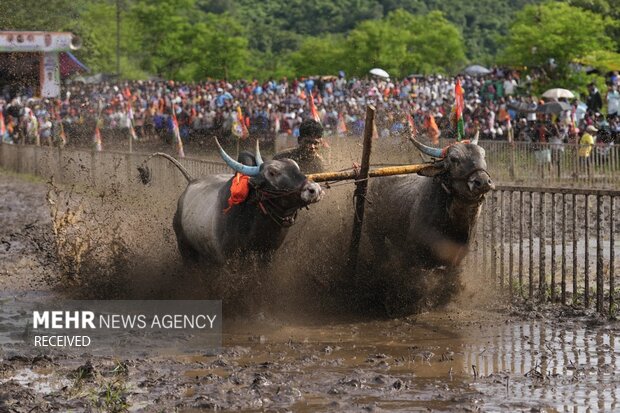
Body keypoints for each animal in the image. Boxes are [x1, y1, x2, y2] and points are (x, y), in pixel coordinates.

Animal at [139, 141, 324, 264]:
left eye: (296, 166)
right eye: (272, 173)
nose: (314, 189)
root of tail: (191, 181)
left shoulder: (267, 257)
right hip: (186, 250)